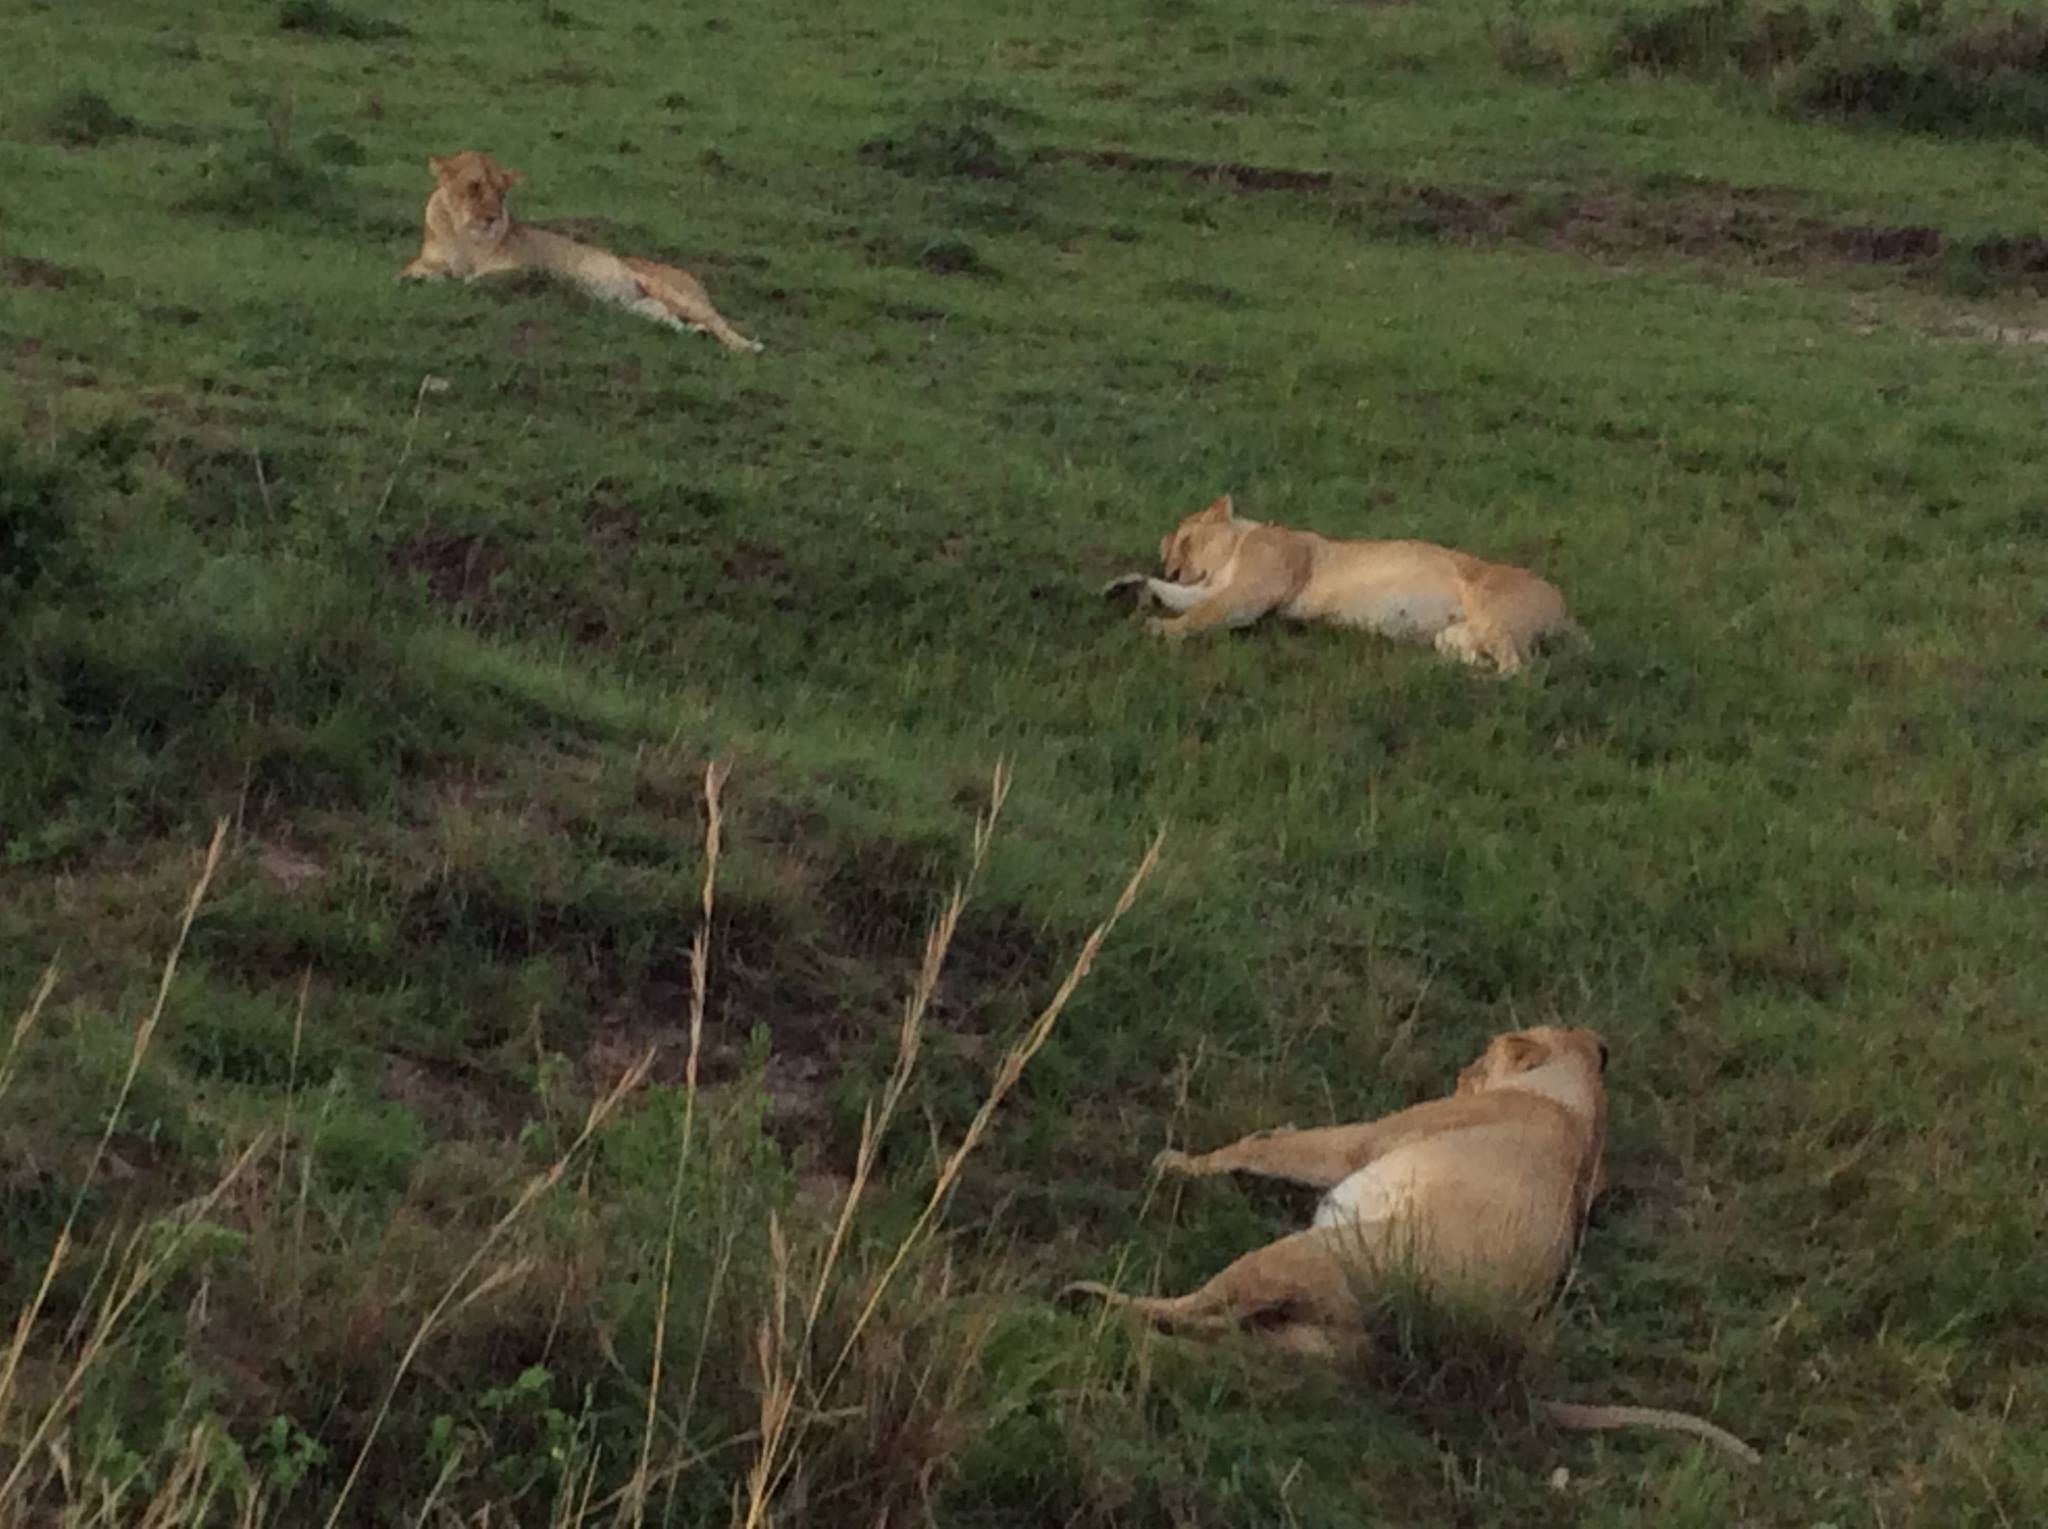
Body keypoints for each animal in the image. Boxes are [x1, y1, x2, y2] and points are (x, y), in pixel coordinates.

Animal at [398, 150, 762, 353]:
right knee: (674, 321)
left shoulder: (530, 267)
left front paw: (462, 282)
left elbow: (478, 279)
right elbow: (412, 272)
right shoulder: (430, 259)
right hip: (642, 307)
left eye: (501, 193)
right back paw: (695, 335)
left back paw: (748, 346)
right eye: (474, 187)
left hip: (677, 293)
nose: (491, 218)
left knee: (720, 323)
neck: (465, 236)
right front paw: (414, 280)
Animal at [1065, 1026, 1759, 1463]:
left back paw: (1095, 1299)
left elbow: (1268, 1145)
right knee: (1215, 1340)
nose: (1460, 1072)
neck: (1578, 1110)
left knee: (1193, 1310)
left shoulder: (1364, 1142)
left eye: (1485, 1055)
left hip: (1301, 1254)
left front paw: (1179, 1162)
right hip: (1299, 1340)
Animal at [1101, 494, 1576, 673]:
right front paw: (1128, 586)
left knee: (1523, 669)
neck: (1241, 541)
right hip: (1454, 636)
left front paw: (1160, 629)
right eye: (1167, 553)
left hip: (1493, 612)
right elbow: (1185, 598)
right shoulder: (1222, 589)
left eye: (1185, 541)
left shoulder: (1249, 594)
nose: (1172, 568)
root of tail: (1565, 609)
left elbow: (1201, 612)